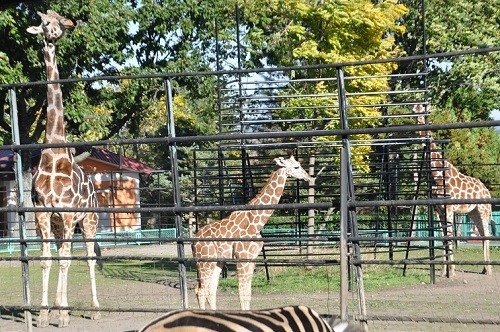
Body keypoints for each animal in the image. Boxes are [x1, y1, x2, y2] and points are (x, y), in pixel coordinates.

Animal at [191, 154, 312, 310]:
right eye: (296, 167)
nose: (308, 177)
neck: (256, 222)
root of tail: (193, 241)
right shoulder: (242, 257)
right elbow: (242, 292)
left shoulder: (252, 258)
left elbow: (248, 292)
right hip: (205, 261)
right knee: (200, 290)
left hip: (217, 261)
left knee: (211, 289)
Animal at [414, 104, 492, 278]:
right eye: (414, 110)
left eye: (425, 110)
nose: (419, 121)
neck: (436, 174)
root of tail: (487, 191)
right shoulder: (438, 210)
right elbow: (443, 238)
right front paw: (444, 270)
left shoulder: (449, 208)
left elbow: (449, 236)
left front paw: (452, 270)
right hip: (473, 213)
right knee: (483, 233)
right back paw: (484, 268)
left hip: (483, 210)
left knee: (487, 234)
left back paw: (489, 269)